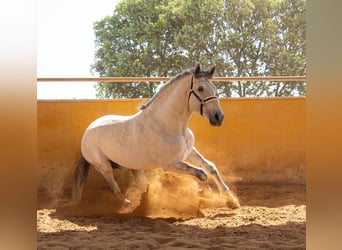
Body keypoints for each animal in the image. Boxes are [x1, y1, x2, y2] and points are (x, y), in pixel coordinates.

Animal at [72, 63, 239, 208]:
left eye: (214, 87)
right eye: (200, 88)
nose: (218, 117)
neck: (169, 125)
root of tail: (87, 131)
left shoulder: (189, 152)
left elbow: (210, 167)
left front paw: (231, 200)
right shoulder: (170, 163)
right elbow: (201, 174)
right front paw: (206, 193)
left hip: (131, 164)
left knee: (141, 183)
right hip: (103, 166)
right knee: (114, 187)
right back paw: (128, 204)